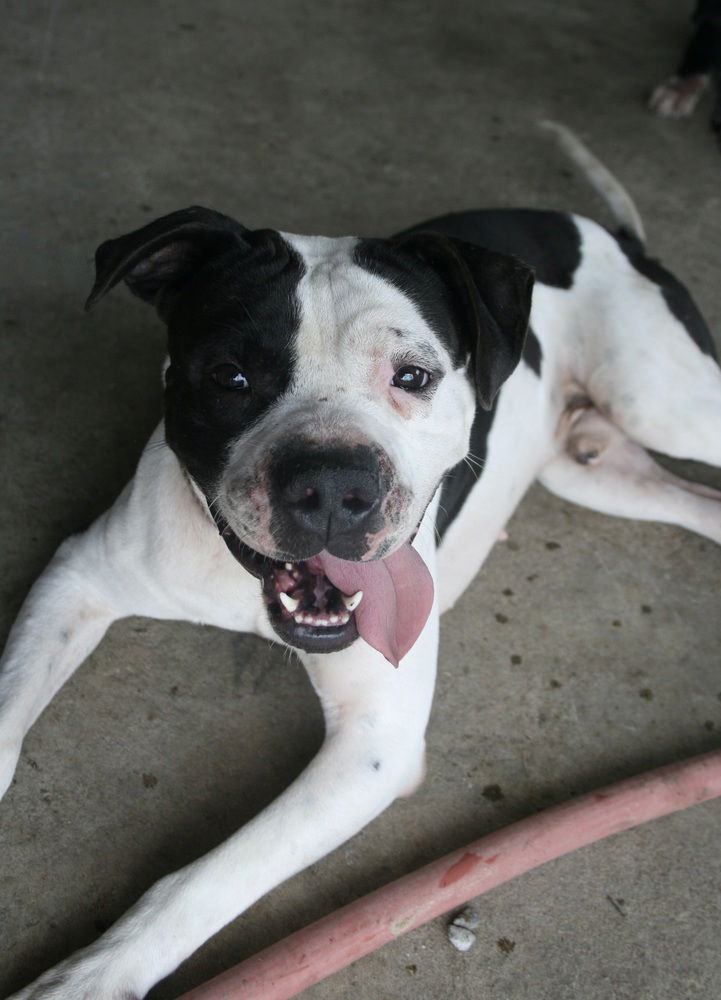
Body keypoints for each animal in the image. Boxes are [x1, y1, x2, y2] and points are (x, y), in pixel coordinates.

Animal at [1, 127, 720, 1000]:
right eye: (231, 376)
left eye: (412, 376)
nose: (333, 487)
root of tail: (611, 236)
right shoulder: (79, 576)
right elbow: (6, 716)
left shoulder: (375, 744)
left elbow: (208, 879)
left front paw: (92, 975)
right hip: (590, 471)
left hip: (662, 404)